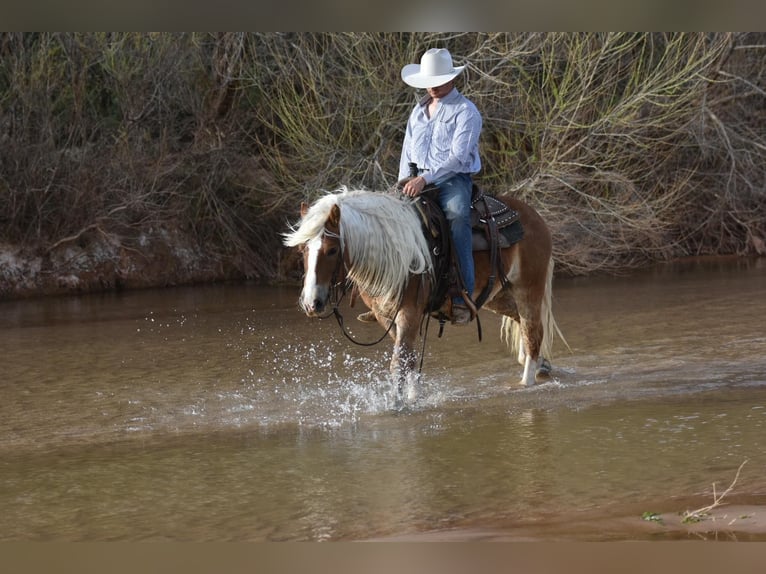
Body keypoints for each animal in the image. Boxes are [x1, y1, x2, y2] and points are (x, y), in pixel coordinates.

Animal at [284, 187, 568, 398]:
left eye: (332, 250)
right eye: (302, 250)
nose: (311, 303)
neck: (392, 251)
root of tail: (534, 216)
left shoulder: (409, 312)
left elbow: (399, 361)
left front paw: (396, 405)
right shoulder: (385, 315)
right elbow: (408, 360)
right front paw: (411, 397)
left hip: (528, 290)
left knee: (532, 333)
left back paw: (527, 381)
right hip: (496, 297)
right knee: (524, 327)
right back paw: (543, 366)